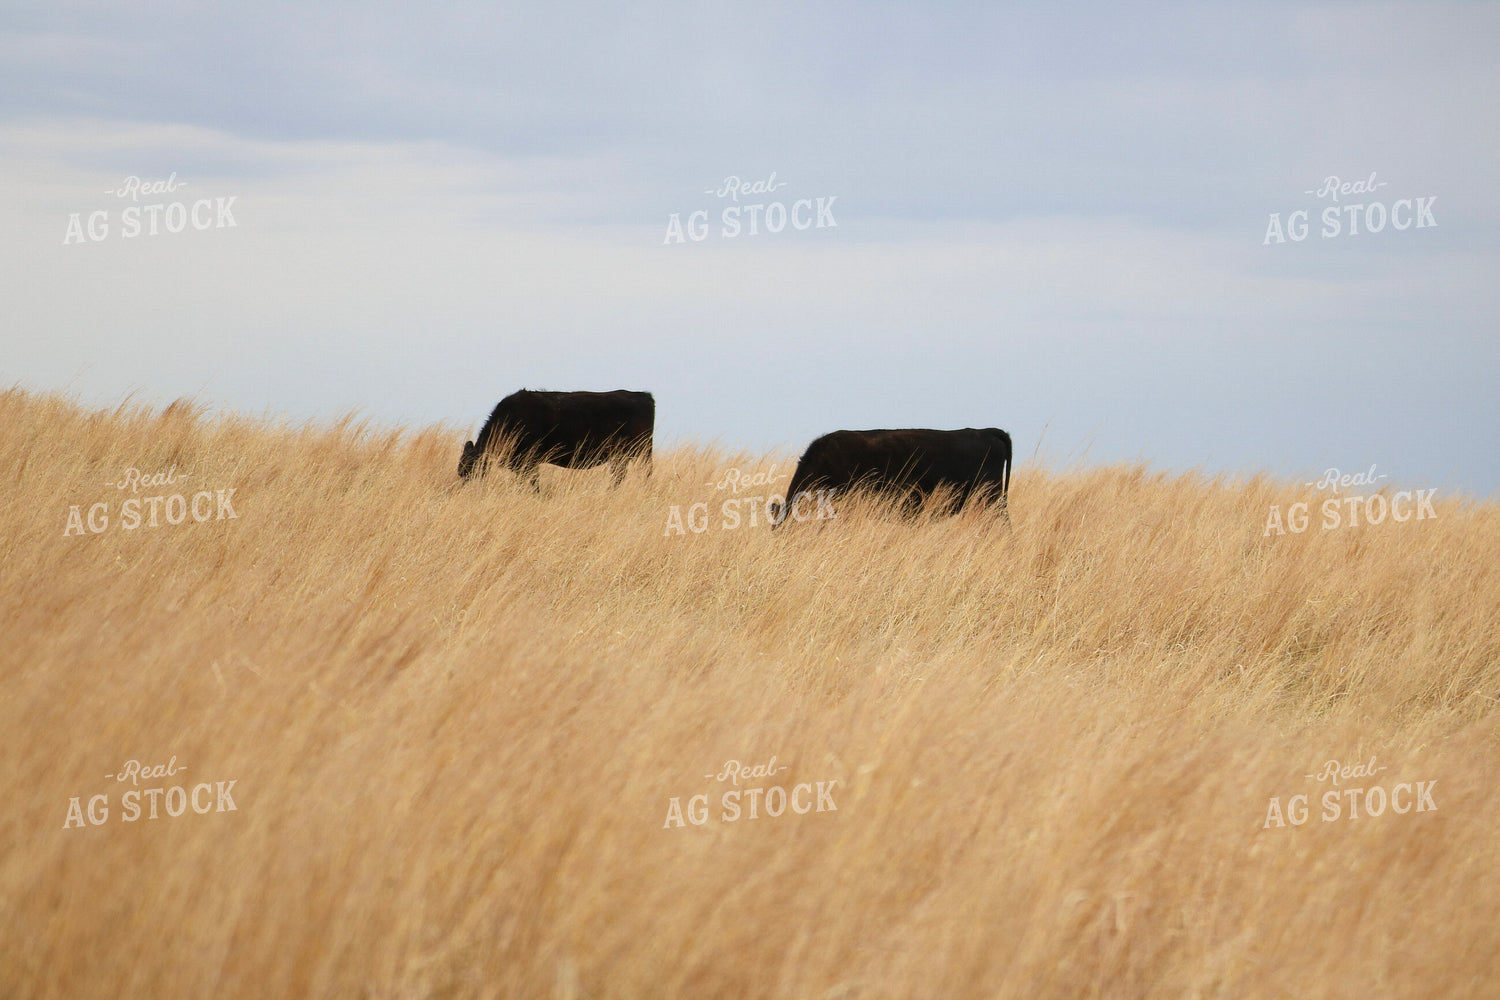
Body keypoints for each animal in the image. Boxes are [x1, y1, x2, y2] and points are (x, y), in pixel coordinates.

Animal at [457, 389, 654, 488]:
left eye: (469, 469)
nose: (464, 488)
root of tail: (642, 395)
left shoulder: (527, 463)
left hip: (639, 453)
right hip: (622, 457)